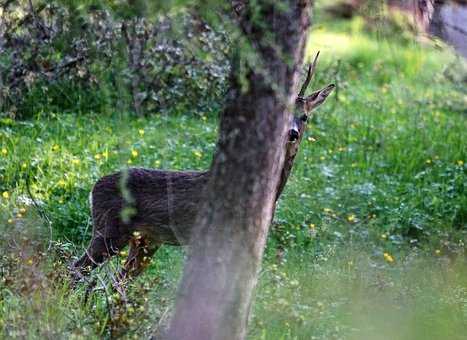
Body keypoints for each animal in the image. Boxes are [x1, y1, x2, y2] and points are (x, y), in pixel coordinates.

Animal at [71, 52, 334, 282]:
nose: (292, 134)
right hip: (110, 229)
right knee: (75, 269)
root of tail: (93, 189)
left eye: (305, 116)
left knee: (119, 280)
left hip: (145, 240)